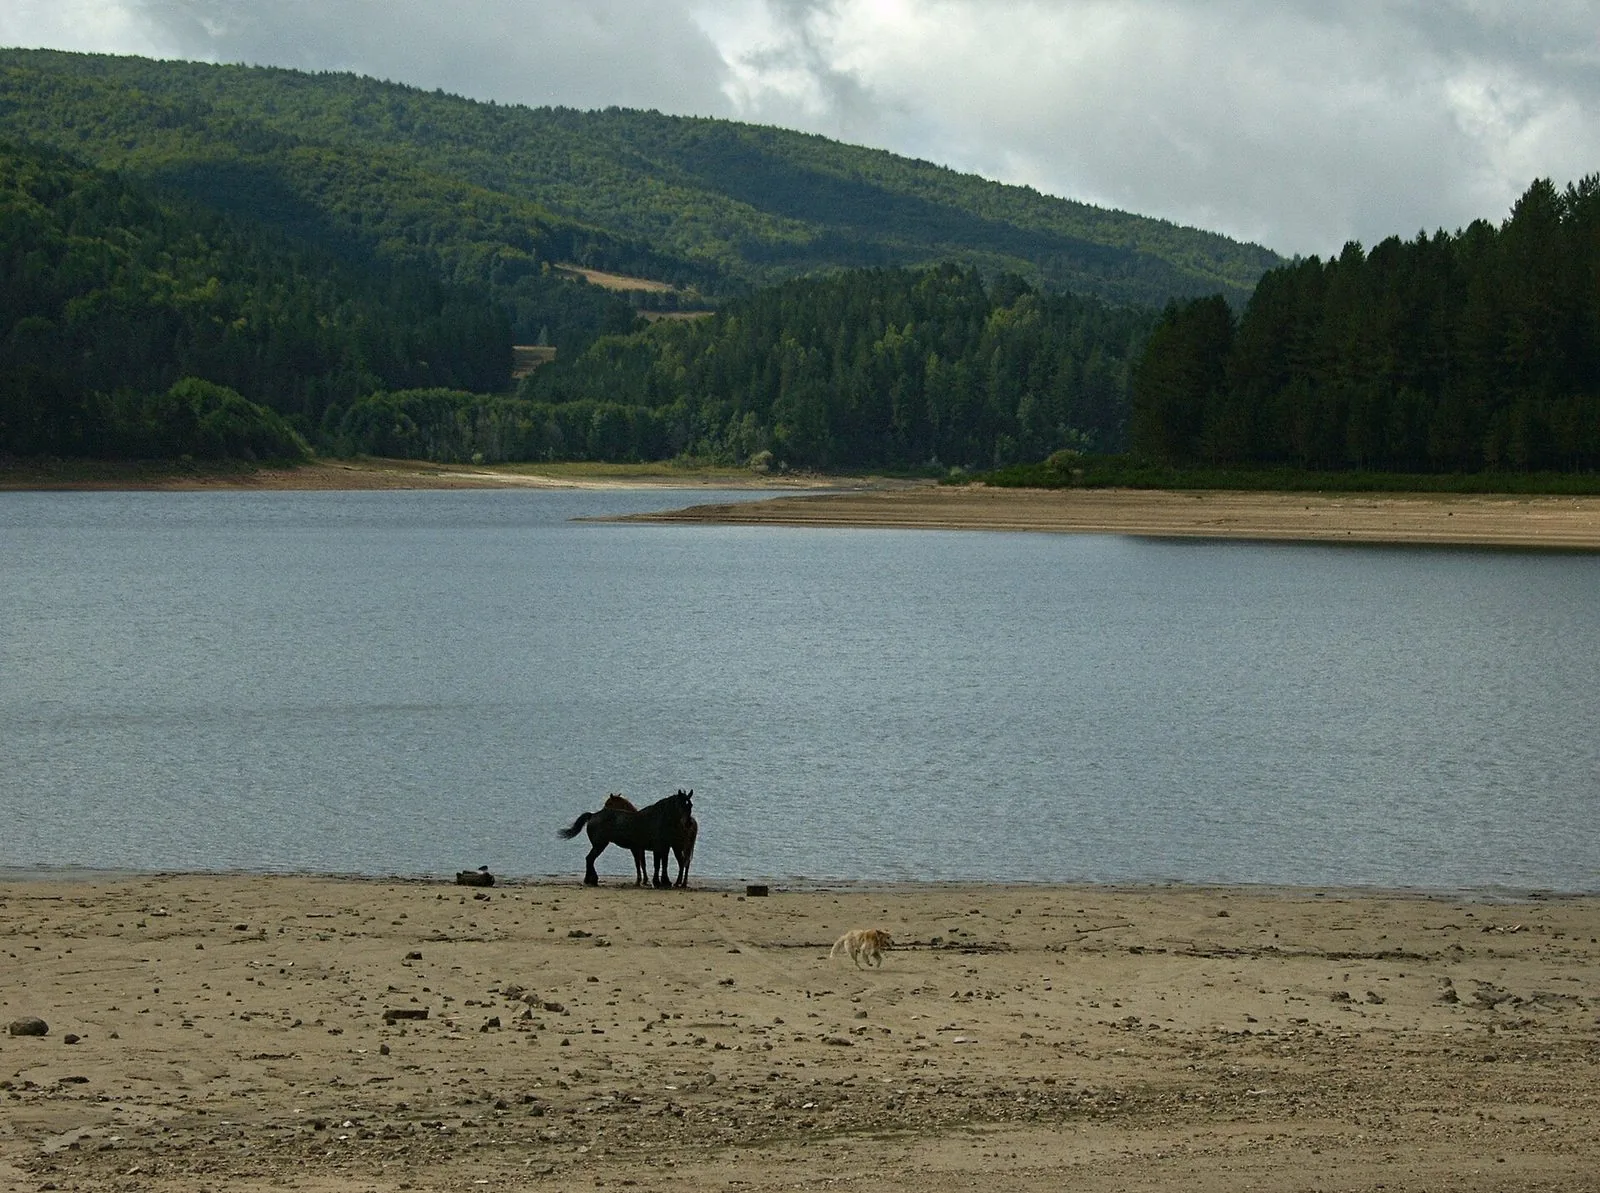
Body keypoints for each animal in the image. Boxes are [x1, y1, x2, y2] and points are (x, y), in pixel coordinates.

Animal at [559, 789, 692, 887]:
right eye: (681, 805)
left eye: (690, 805)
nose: (688, 823)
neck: (658, 819)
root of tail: (593, 815)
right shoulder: (657, 847)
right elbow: (656, 864)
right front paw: (656, 882)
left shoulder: (664, 847)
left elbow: (663, 864)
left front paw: (665, 882)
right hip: (600, 845)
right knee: (590, 859)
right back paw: (592, 880)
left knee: (589, 859)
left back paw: (590, 880)